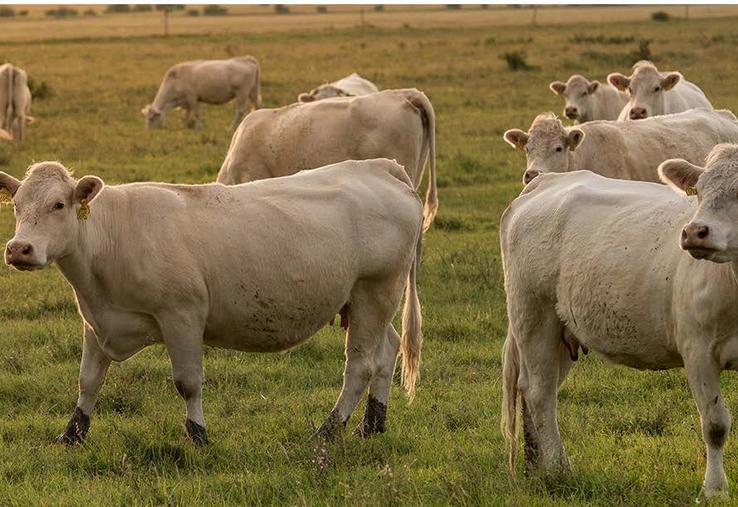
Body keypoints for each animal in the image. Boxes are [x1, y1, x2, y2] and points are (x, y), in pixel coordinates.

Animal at [1, 158, 423, 446]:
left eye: (58, 205)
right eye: (17, 205)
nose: (19, 248)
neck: (112, 236)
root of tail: (378, 167)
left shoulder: (182, 316)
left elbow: (188, 382)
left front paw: (198, 434)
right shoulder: (97, 321)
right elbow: (88, 380)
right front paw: (72, 434)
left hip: (375, 290)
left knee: (360, 366)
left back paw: (329, 429)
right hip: (367, 301)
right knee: (387, 351)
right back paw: (372, 425)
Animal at [501, 143, 738, 500]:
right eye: (700, 191)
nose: (695, 232)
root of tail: (545, 182)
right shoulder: (698, 351)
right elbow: (715, 424)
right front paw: (714, 490)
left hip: (560, 332)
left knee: (536, 390)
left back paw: (536, 466)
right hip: (533, 315)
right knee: (539, 392)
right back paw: (558, 469)